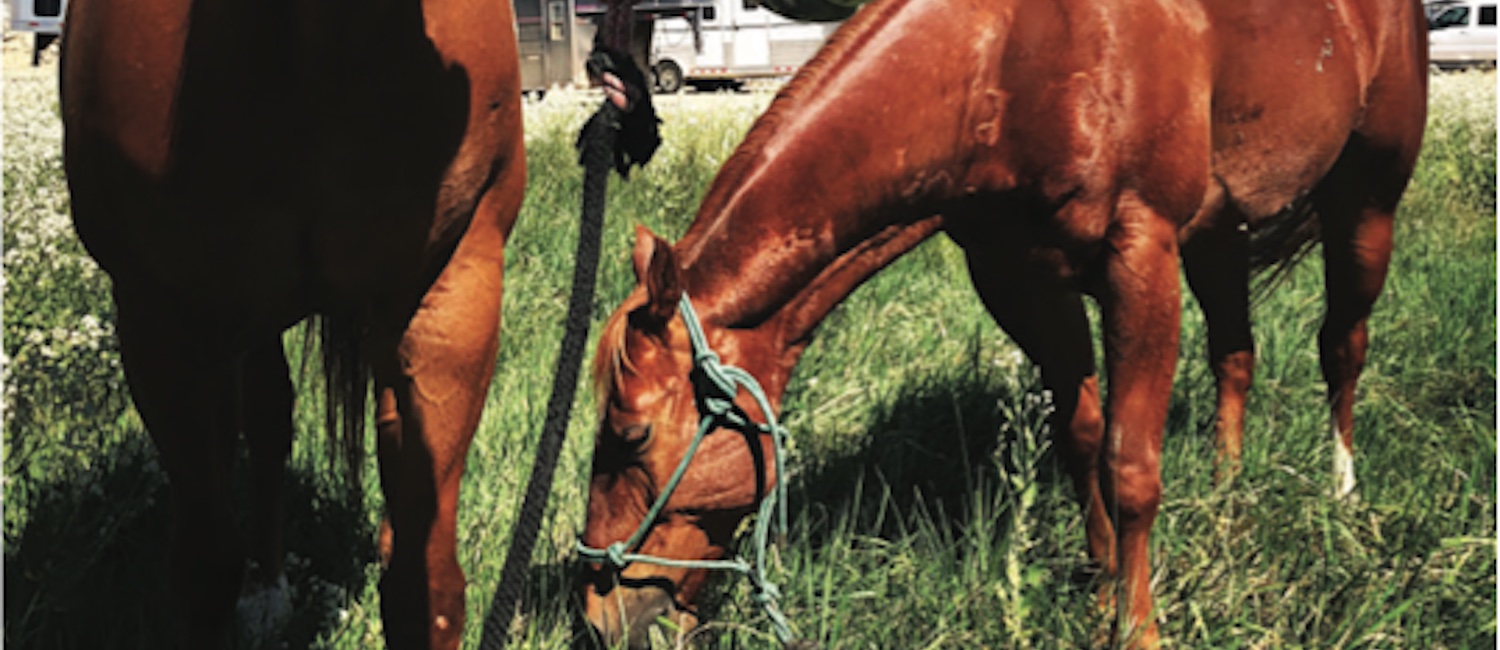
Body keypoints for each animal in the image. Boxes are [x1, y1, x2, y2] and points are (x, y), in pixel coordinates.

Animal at [576, 0, 1427, 646]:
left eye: (630, 436)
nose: (596, 618)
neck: (1012, 58)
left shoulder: (1140, 258)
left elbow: (1130, 465)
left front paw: (1137, 627)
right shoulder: (1021, 281)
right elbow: (1082, 437)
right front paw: (1101, 588)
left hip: (1367, 202)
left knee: (1342, 344)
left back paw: (1343, 493)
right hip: (1222, 233)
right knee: (1235, 354)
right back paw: (1225, 492)